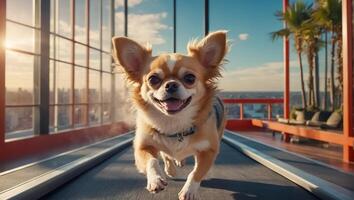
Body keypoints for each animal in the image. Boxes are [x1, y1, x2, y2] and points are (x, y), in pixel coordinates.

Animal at [112, 30, 228, 199]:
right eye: (153, 79)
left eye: (190, 78)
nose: (171, 84)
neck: (174, 122)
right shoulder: (142, 147)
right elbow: (152, 161)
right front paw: (155, 180)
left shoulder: (209, 150)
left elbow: (196, 172)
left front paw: (189, 190)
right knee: (166, 156)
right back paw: (171, 169)